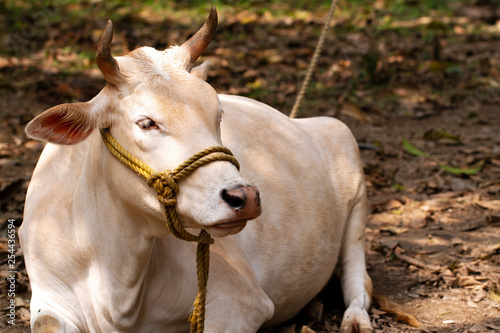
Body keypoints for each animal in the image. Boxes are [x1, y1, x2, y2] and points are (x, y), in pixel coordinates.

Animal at [21, 8, 374, 332]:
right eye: (146, 123)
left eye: (219, 114)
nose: (244, 197)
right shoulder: (49, 295)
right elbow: (47, 323)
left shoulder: (242, 302)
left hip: (349, 160)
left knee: (359, 279)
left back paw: (355, 318)